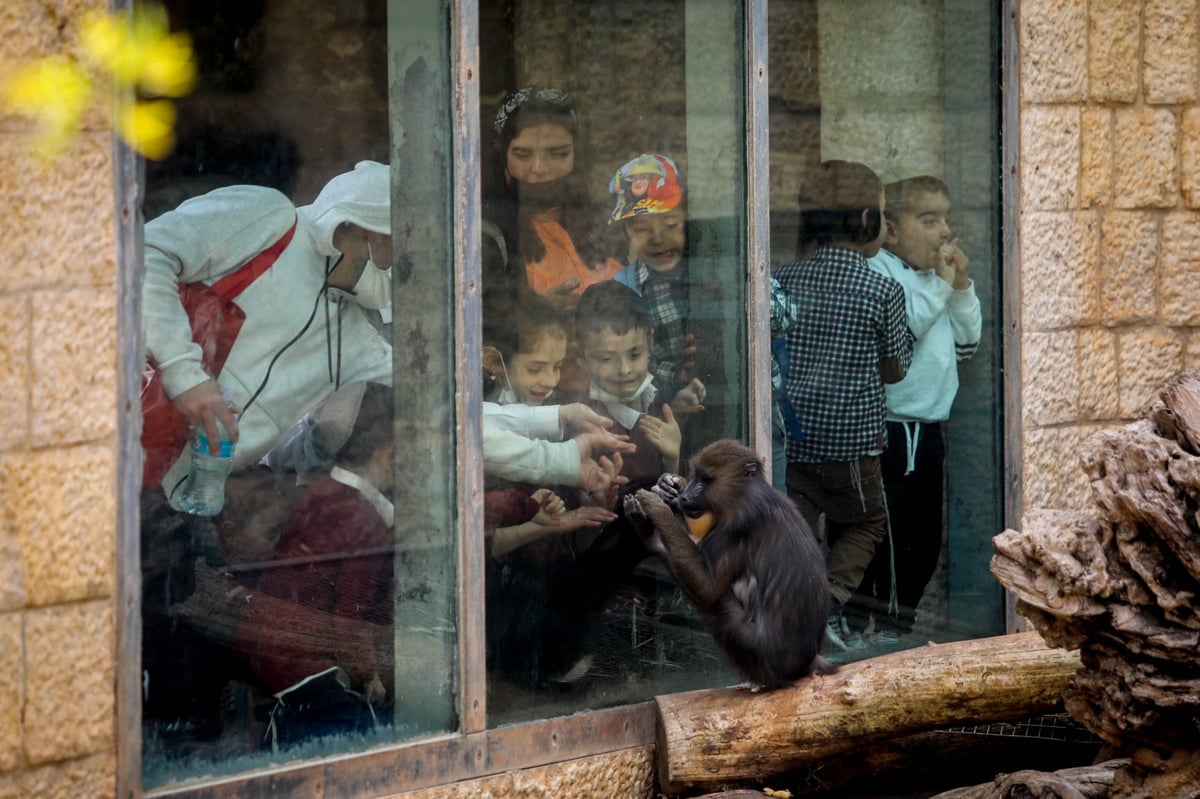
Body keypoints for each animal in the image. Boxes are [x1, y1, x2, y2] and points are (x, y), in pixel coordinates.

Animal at [628, 436, 835, 686]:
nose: (685, 497)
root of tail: (809, 660)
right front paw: (670, 486)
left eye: (706, 479)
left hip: (752, 648)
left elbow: (708, 588)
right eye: (696, 474)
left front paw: (658, 507)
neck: (743, 492)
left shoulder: (736, 527)